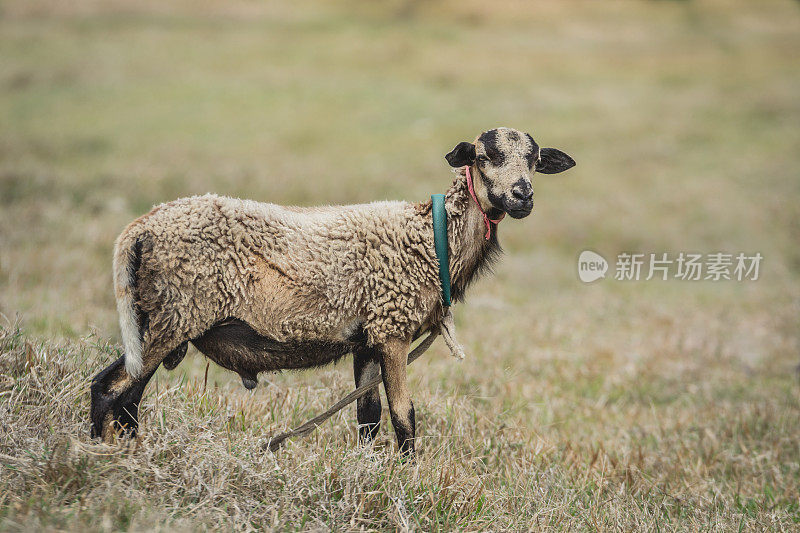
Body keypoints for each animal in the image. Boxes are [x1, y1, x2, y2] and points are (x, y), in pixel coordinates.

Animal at [90, 127, 576, 456]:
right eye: (485, 155)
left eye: (534, 159)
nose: (523, 196)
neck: (433, 236)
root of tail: (141, 228)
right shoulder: (392, 330)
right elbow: (404, 416)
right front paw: (412, 479)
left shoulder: (368, 339)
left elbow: (369, 418)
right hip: (176, 313)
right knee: (112, 390)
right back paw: (103, 457)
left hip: (159, 318)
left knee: (123, 395)